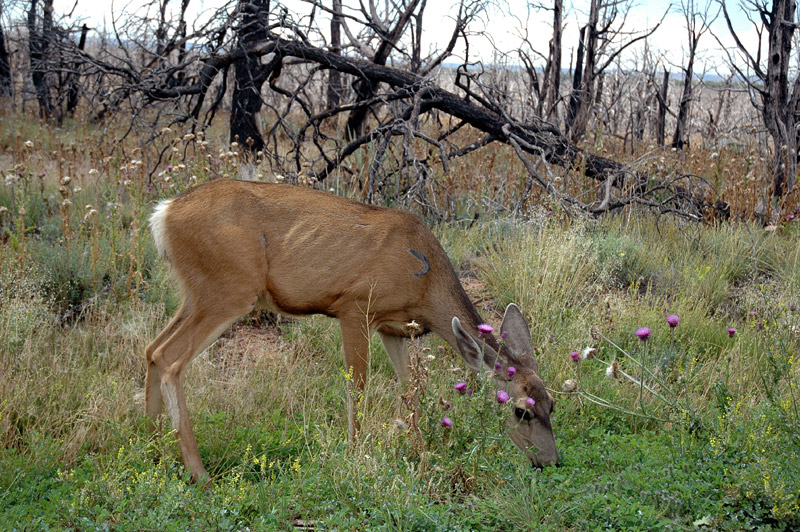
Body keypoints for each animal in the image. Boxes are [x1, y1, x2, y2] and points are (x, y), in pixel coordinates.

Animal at [145, 180, 556, 482]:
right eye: (521, 411)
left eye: (551, 404)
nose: (551, 461)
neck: (425, 281)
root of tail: (164, 213)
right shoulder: (355, 307)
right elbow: (357, 388)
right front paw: (357, 455)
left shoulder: (396, 328)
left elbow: (411, 392)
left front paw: (423, 457)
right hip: (229, 288)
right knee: (169, 356)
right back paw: (198, 473)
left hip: (195, 292)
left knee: (151, 349)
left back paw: (153, 451)